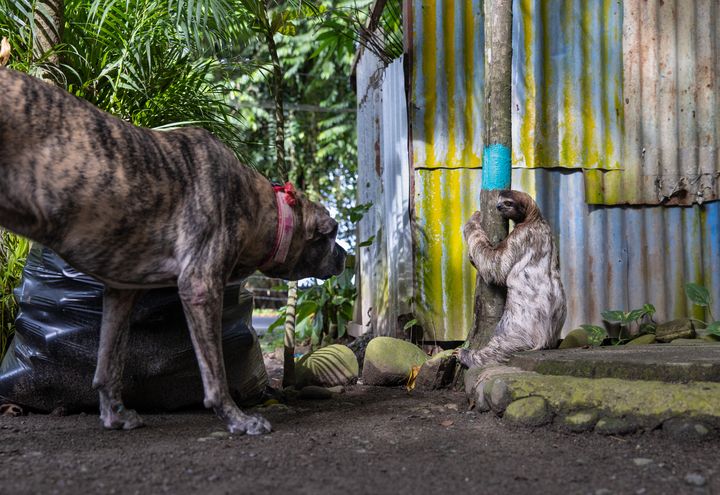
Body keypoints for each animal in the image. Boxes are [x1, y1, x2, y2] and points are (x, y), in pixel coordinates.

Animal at [0, 68, 346, 436]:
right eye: (332, 234)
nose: (345, 256)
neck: (257, 205)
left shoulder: (121, 293)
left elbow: (108, 363)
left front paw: (114, 415)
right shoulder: (200, 287)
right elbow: (215, 370)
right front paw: (236, 418)